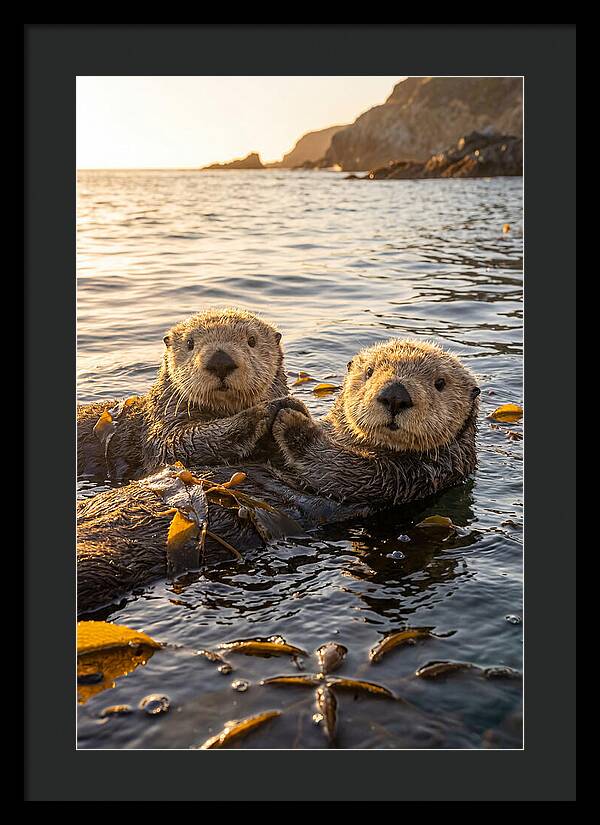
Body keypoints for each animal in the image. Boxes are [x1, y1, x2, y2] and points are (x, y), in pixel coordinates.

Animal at [77, 308, 302, 480]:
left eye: (252, 340)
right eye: (190, 343)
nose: (220, 361)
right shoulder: (162, 427)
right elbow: (177, 443)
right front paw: (267, 410)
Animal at [77, 339, 480, 614]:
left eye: (440, 383)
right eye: (369, 374)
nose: (395, 395)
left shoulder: (410, 477)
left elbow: (340, 468)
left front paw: (291, 418)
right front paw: (277, 408)